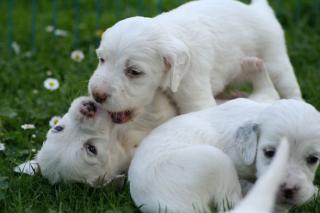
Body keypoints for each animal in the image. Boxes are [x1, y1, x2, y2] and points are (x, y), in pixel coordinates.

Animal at [87, 0, 300, 123]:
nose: (97, 95)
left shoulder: (195, 96)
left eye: (134, 71)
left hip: (275, 61)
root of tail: (257, 9)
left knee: (291, 88)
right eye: (101, 59)